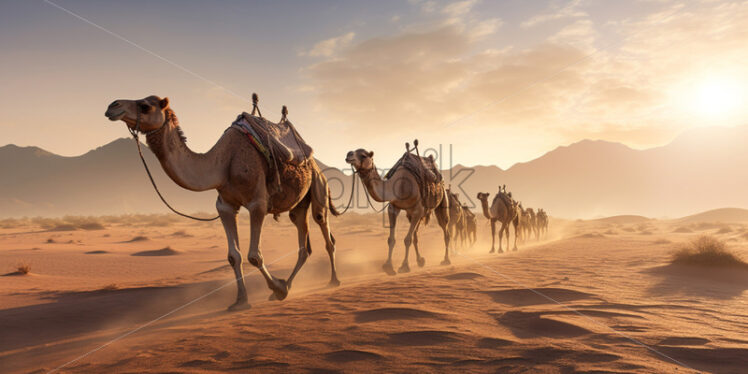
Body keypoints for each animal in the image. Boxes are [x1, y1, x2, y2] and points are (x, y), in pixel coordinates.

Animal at [103, 95, 340, 310]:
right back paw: (289, 285)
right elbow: (234, 256)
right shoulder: (225, 207)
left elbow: (254, 256)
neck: (224, 162)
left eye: (145, 105)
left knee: (325, 231)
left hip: (318, 186)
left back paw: (332, 281)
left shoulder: (258, 204)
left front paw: (278, 288)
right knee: (303, 245)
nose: (112, 105)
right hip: (298, 206)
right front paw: (241, 300)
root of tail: (314, 163)